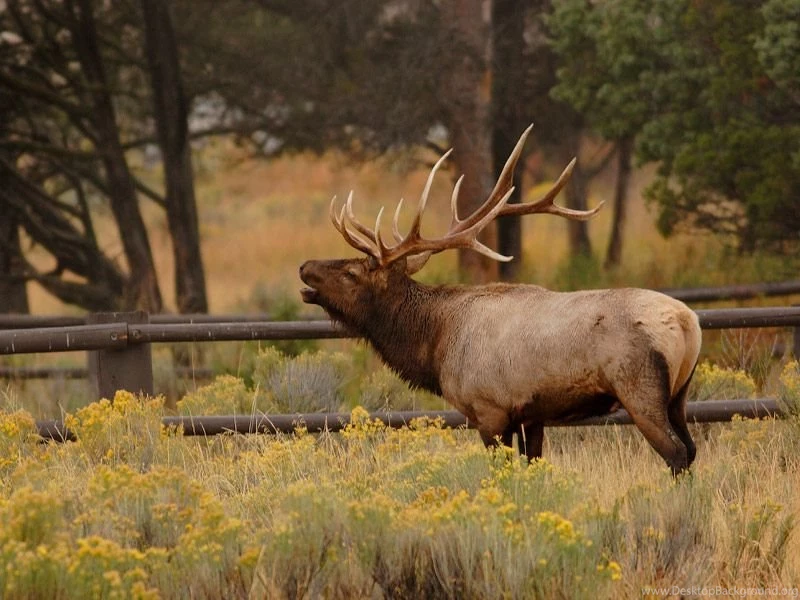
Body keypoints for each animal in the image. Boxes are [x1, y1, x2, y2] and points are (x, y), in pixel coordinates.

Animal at [299, 125, 702, 475]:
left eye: (352, 272)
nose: (304, 266)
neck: (436, 344)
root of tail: (688, 323)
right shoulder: (531, 415)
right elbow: (534, 465)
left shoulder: (489, 409)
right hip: (679, 396)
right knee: (692, 448)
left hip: (639, 389)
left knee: (677, 452)